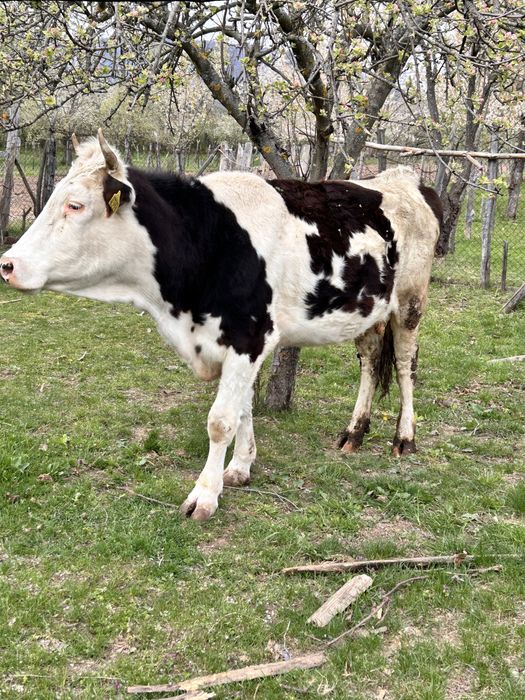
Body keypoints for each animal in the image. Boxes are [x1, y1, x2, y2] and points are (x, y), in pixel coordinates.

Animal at [0, 131, 442, 521]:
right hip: (369, 309)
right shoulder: (237, 343)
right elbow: (243, 409)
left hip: (411, 302)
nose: (7, 264)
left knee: (405, 364)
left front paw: (205, 495)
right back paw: (355, 431)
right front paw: (241, 467)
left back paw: (404, 438)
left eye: (75, 205)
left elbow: (221, 420)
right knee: (369, 360)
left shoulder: (249, 336)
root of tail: (400, 179)